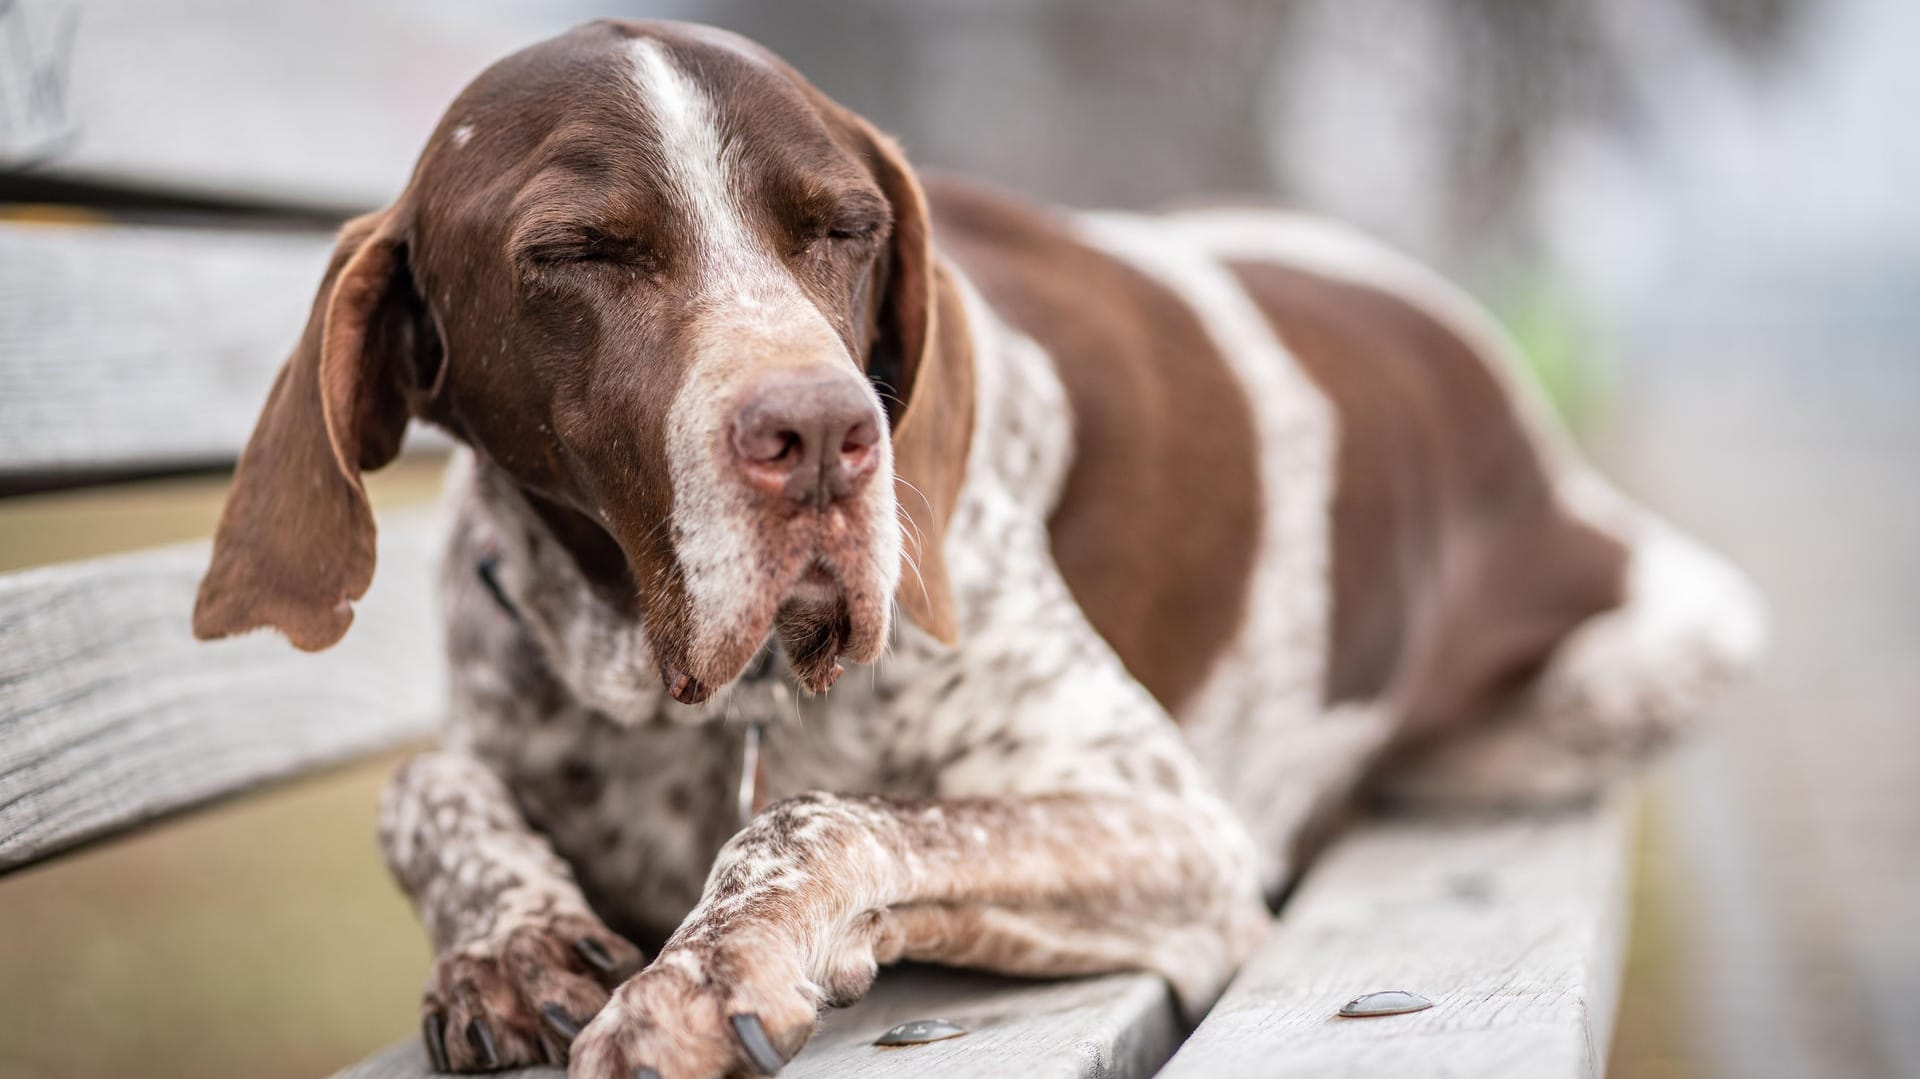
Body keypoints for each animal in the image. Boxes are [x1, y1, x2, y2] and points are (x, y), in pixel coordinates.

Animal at [187, 18, 1758, 1075]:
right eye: (573, 253)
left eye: (847, 228)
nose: (825, 434)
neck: (658, 675)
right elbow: (424, 781)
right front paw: (507, 935)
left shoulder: (1172, 829)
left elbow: (828, 814)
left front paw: (709, 963)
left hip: (1627, 668)